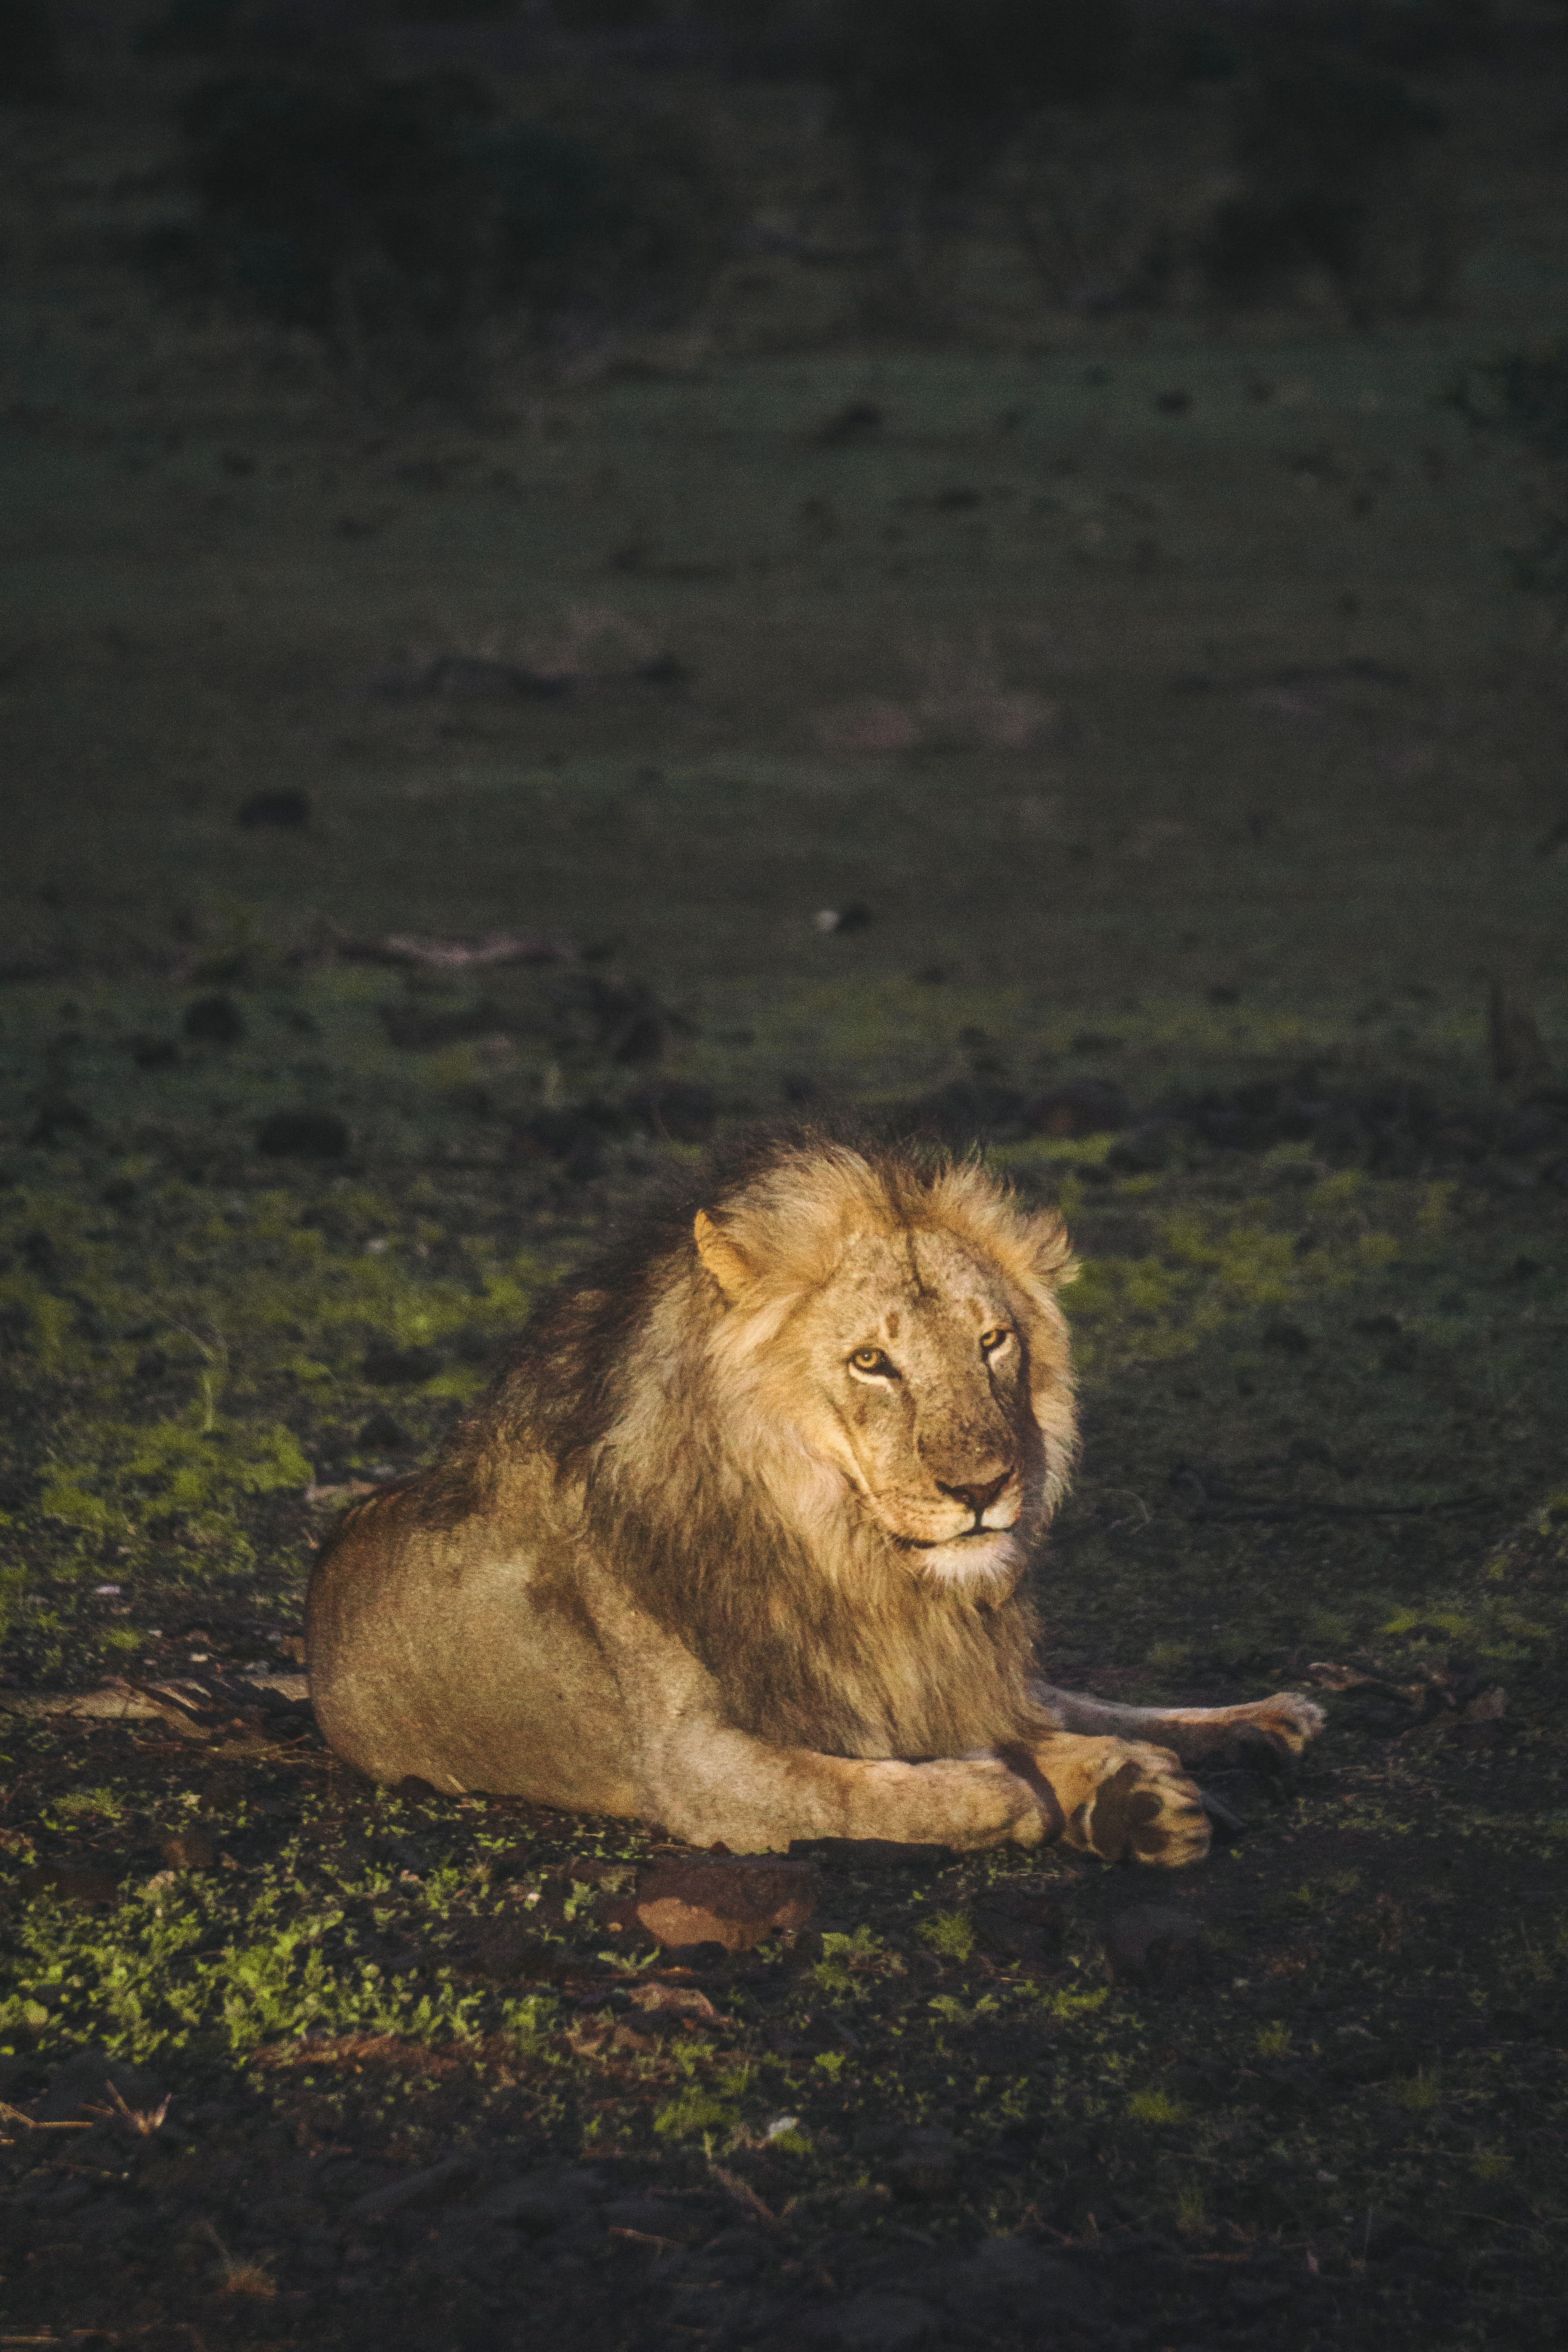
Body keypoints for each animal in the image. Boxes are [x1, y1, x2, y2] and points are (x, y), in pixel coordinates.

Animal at [307, 1131, 1322, 1863]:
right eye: (871, 1362)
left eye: (992, 1341)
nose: (983, 1488)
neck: (844, 1555)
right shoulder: (690, 1764)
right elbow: (873, 1782)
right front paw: (1056, 1789)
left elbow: (1032, 1720)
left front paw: (1133, 1784)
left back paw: (1261, 1724)